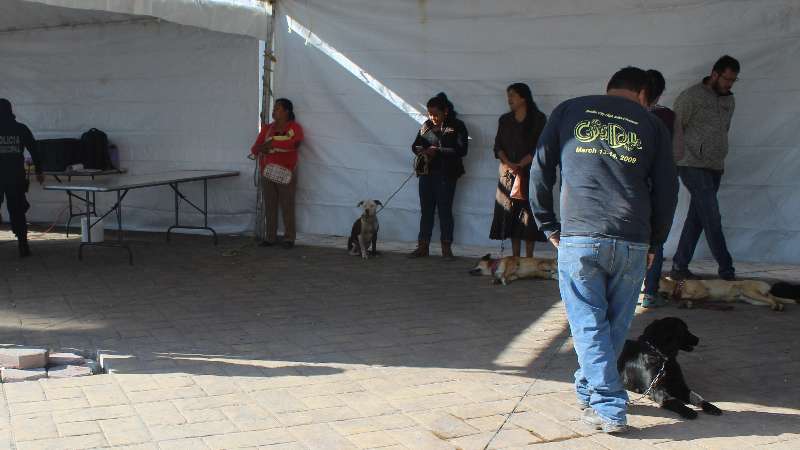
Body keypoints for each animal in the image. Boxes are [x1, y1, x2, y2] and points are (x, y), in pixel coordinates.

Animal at [660, 276, 796, 312]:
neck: (680, 286)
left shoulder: (703, 291)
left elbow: (691, 297)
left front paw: (685, 301)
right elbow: (690, 299)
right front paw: (686, 303)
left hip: (750, 291)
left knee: (772, 301)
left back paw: (775, 306)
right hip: (754, 300)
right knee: (775, 301)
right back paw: (779, 306)